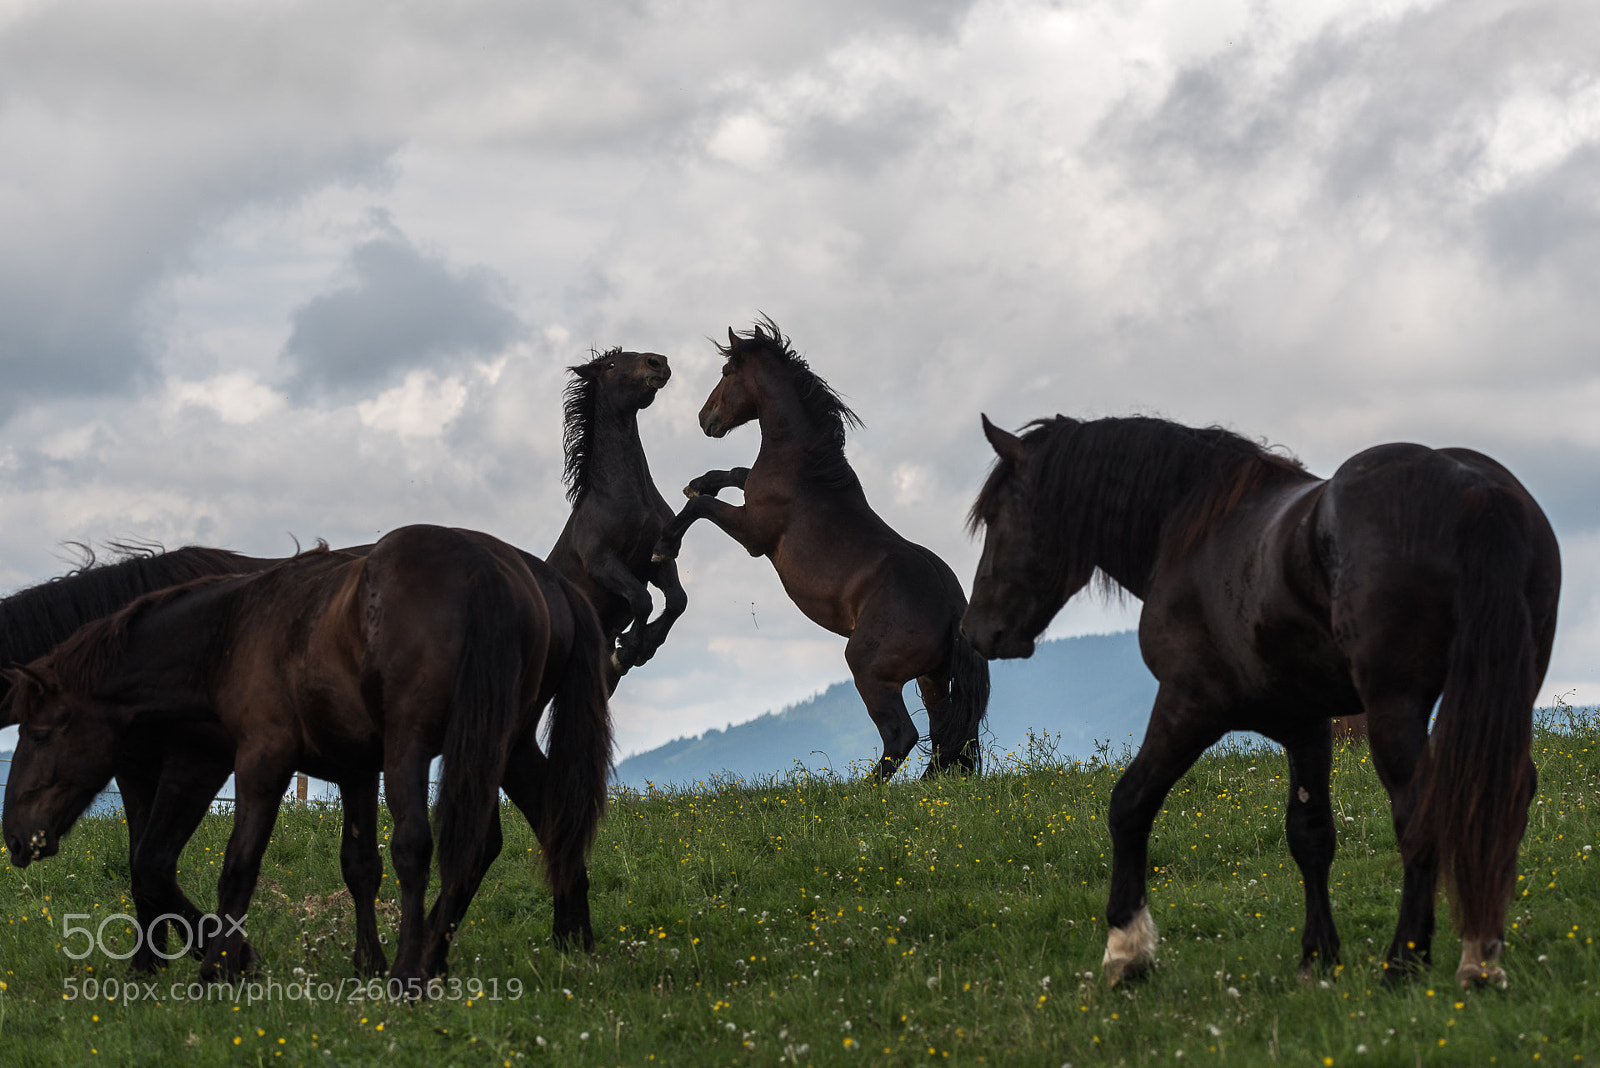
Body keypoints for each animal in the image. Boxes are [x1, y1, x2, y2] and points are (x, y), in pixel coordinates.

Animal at [4, 525, 612, 984]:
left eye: (40, 733)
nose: (15, 836)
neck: (230, 634)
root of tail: (491, 571)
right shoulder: (353, 767)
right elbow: (358, 865)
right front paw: (364, 962)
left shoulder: (244, 760)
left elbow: (224, 865)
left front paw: (218, 965)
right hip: (504, 742)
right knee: (543, 821)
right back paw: (559, 939)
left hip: (417, 745)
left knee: (421, 845)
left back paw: (414, 972)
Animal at [548, 348, 688, 691]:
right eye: (611, 365)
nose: (658, 363)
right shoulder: (601, 561)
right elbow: (642, 599)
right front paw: (628, 650)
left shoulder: (655, 560)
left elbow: (677, 600)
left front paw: (644, 646)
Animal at [651, 320, 989, 779]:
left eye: (726, 372)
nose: (705, 419)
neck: (804, 466)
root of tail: (953, 608)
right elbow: (734, 474)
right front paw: (699, 481)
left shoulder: (752, 533)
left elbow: (700, 508)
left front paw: (664, 545)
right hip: (932, 679)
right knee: (945, 739)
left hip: (871, 671)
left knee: (903, 735)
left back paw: (861, 789)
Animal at [962, 414, 1560, 990]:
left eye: (995, 516)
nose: (976, 631)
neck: (1196, 532)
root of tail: (1475, 491)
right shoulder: (1305, 723)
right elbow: (1310, 835)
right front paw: (1318, 957)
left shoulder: (1190, 704)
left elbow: (1129, 805)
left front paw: (1127, 952)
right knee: (1502, 794)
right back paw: (1480, 953)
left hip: (1395, 706)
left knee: (1420, 812)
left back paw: (1405, 963)